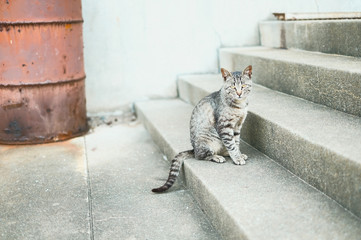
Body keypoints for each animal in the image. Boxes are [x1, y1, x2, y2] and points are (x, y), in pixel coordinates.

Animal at [150, 65, 252, 193]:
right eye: (233, 87)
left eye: (243, 86)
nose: (239, 93)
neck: (239, 105)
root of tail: (193, 149)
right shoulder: (224, 126)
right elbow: (231, 144)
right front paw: (237, 158)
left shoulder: (237, 126)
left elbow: (236, 142)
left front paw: (239, 154)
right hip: (208, 140)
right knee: (201, 156)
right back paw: (216, 157)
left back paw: (225, 153)